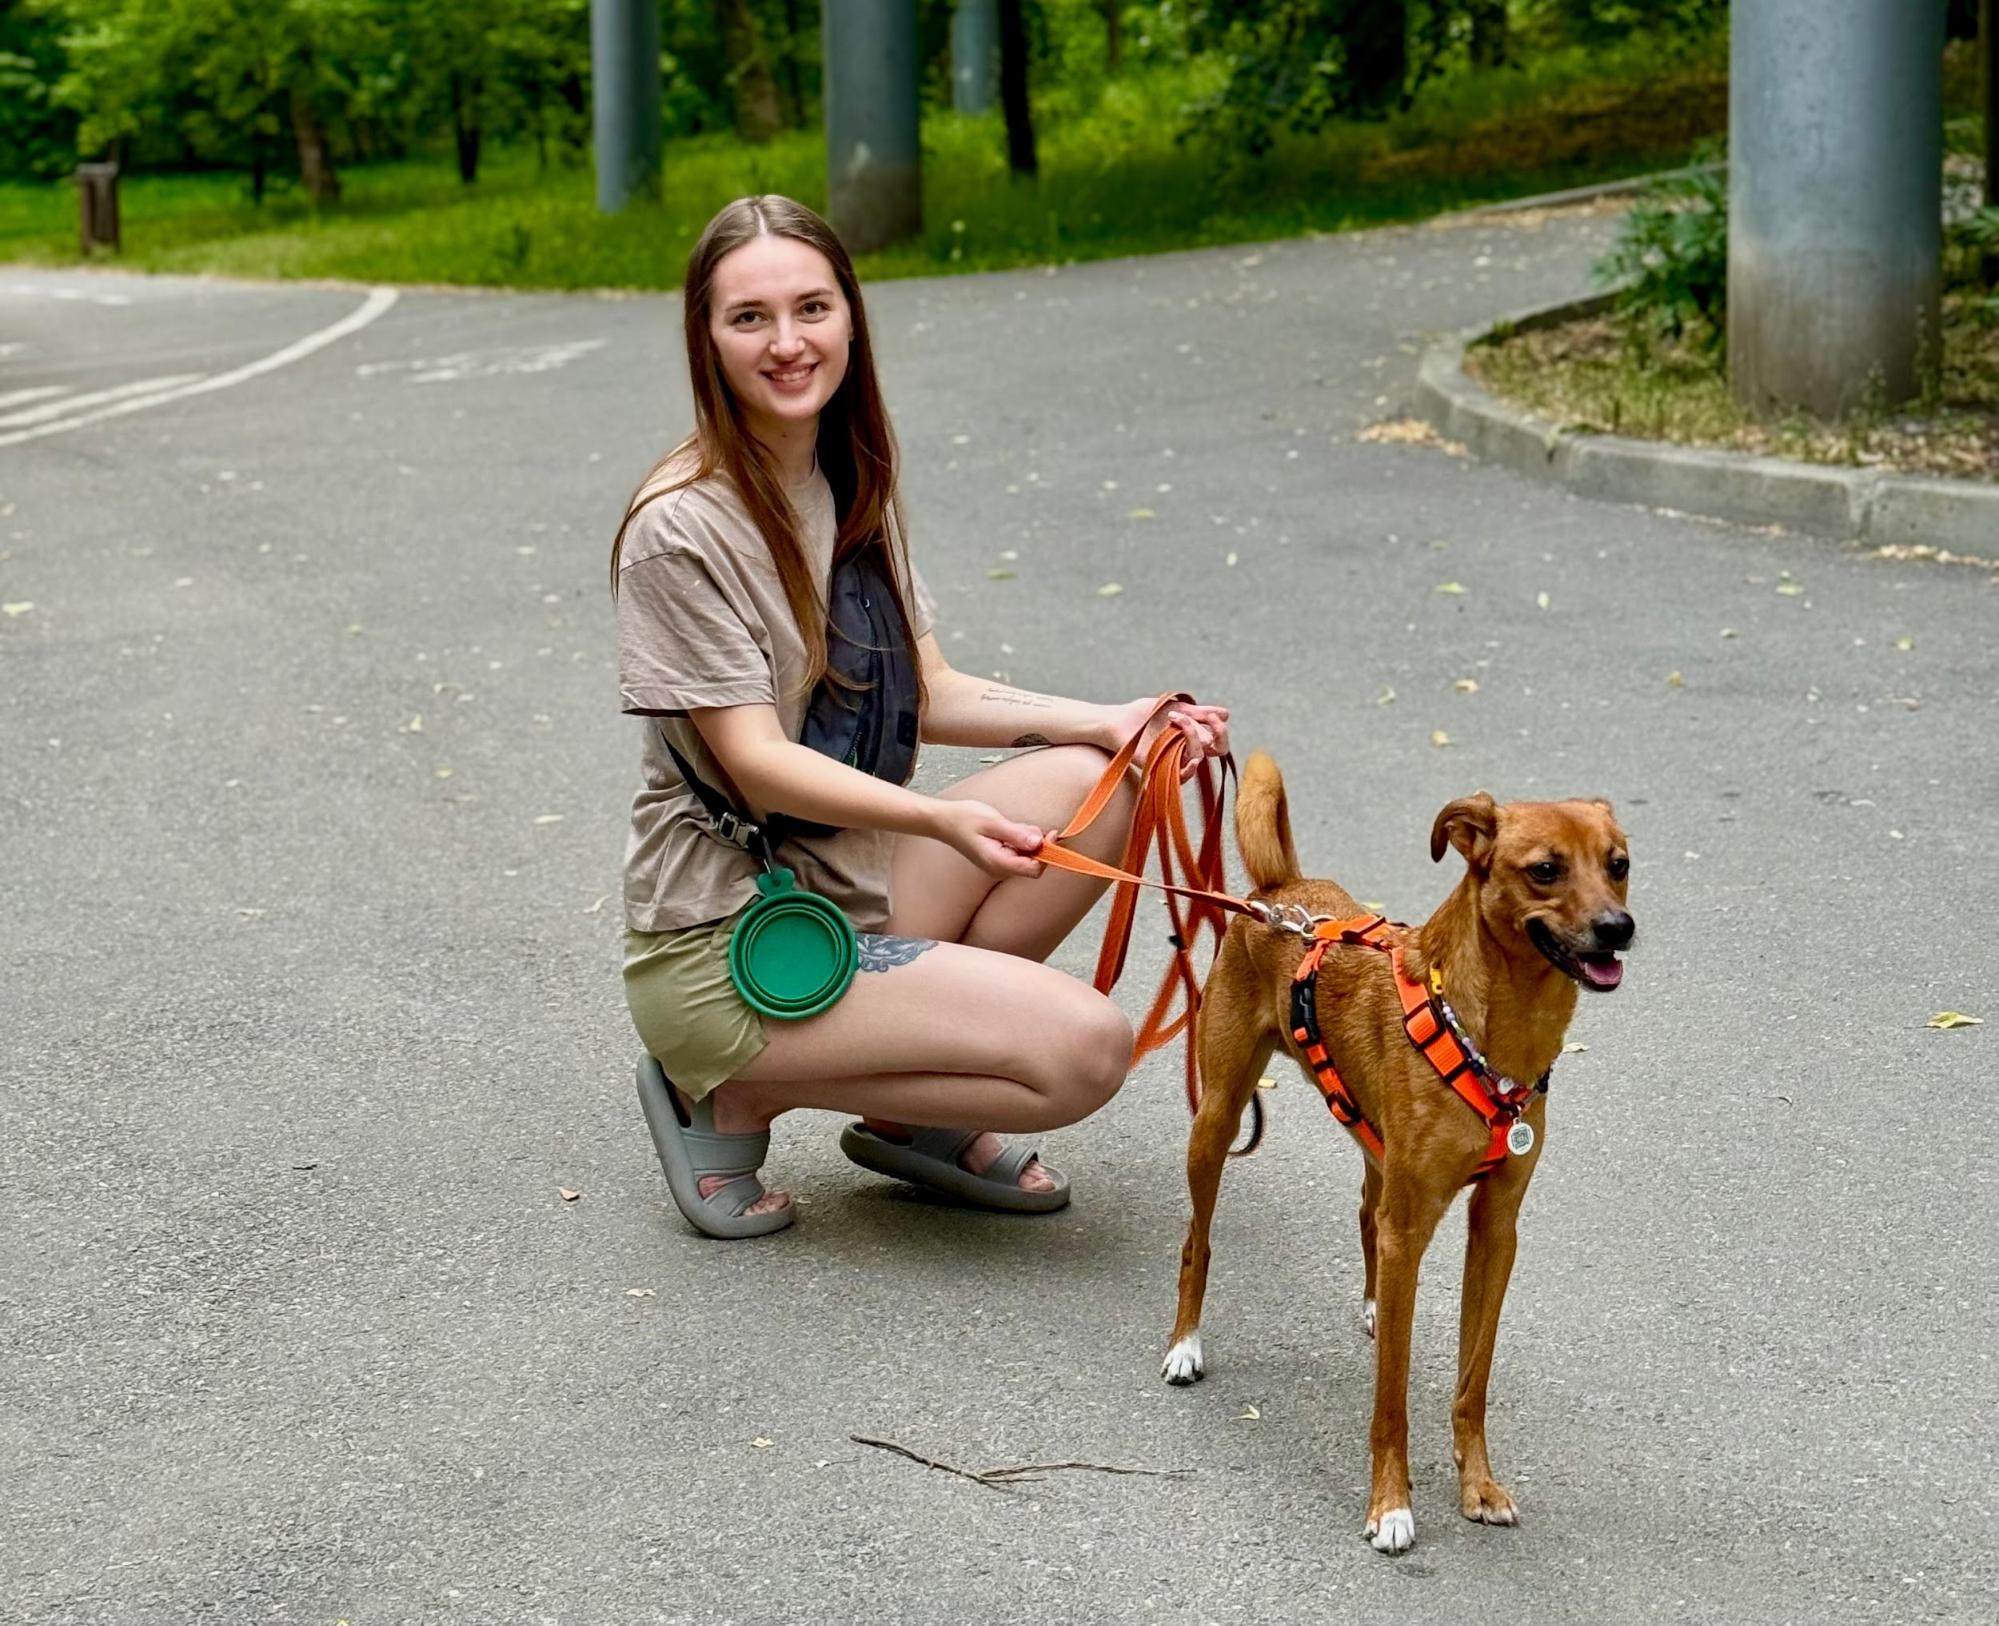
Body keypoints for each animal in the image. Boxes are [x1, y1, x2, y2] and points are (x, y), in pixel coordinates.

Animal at [1167, 756, 1631, 1552]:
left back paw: (1375, 1303)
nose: (1618, 928)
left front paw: (1478, 1486)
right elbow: (1392, 1399)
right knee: (1198, 1240)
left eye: (1619, 865)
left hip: (1374, 1150)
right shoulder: (1412, 1226)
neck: (1492, 1035)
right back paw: (1185, 1345)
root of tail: (1281, 893)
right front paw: (1390, 1505)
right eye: (1545, 870)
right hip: (1218, 1122)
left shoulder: (1494, 1229)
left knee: (1365, 1213)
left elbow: (1472, 1381)